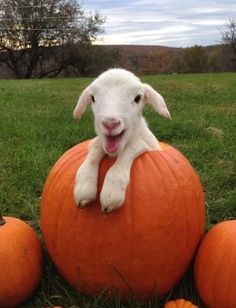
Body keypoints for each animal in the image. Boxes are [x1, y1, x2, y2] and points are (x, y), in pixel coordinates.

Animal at [73, 68, 171, 213]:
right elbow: (95, 146)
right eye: (93, 98)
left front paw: (112, 192)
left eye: (137, 98)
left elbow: (132, 147)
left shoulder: (144, 144)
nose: (110, 123)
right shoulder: (99, 144)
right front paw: (84, 188)